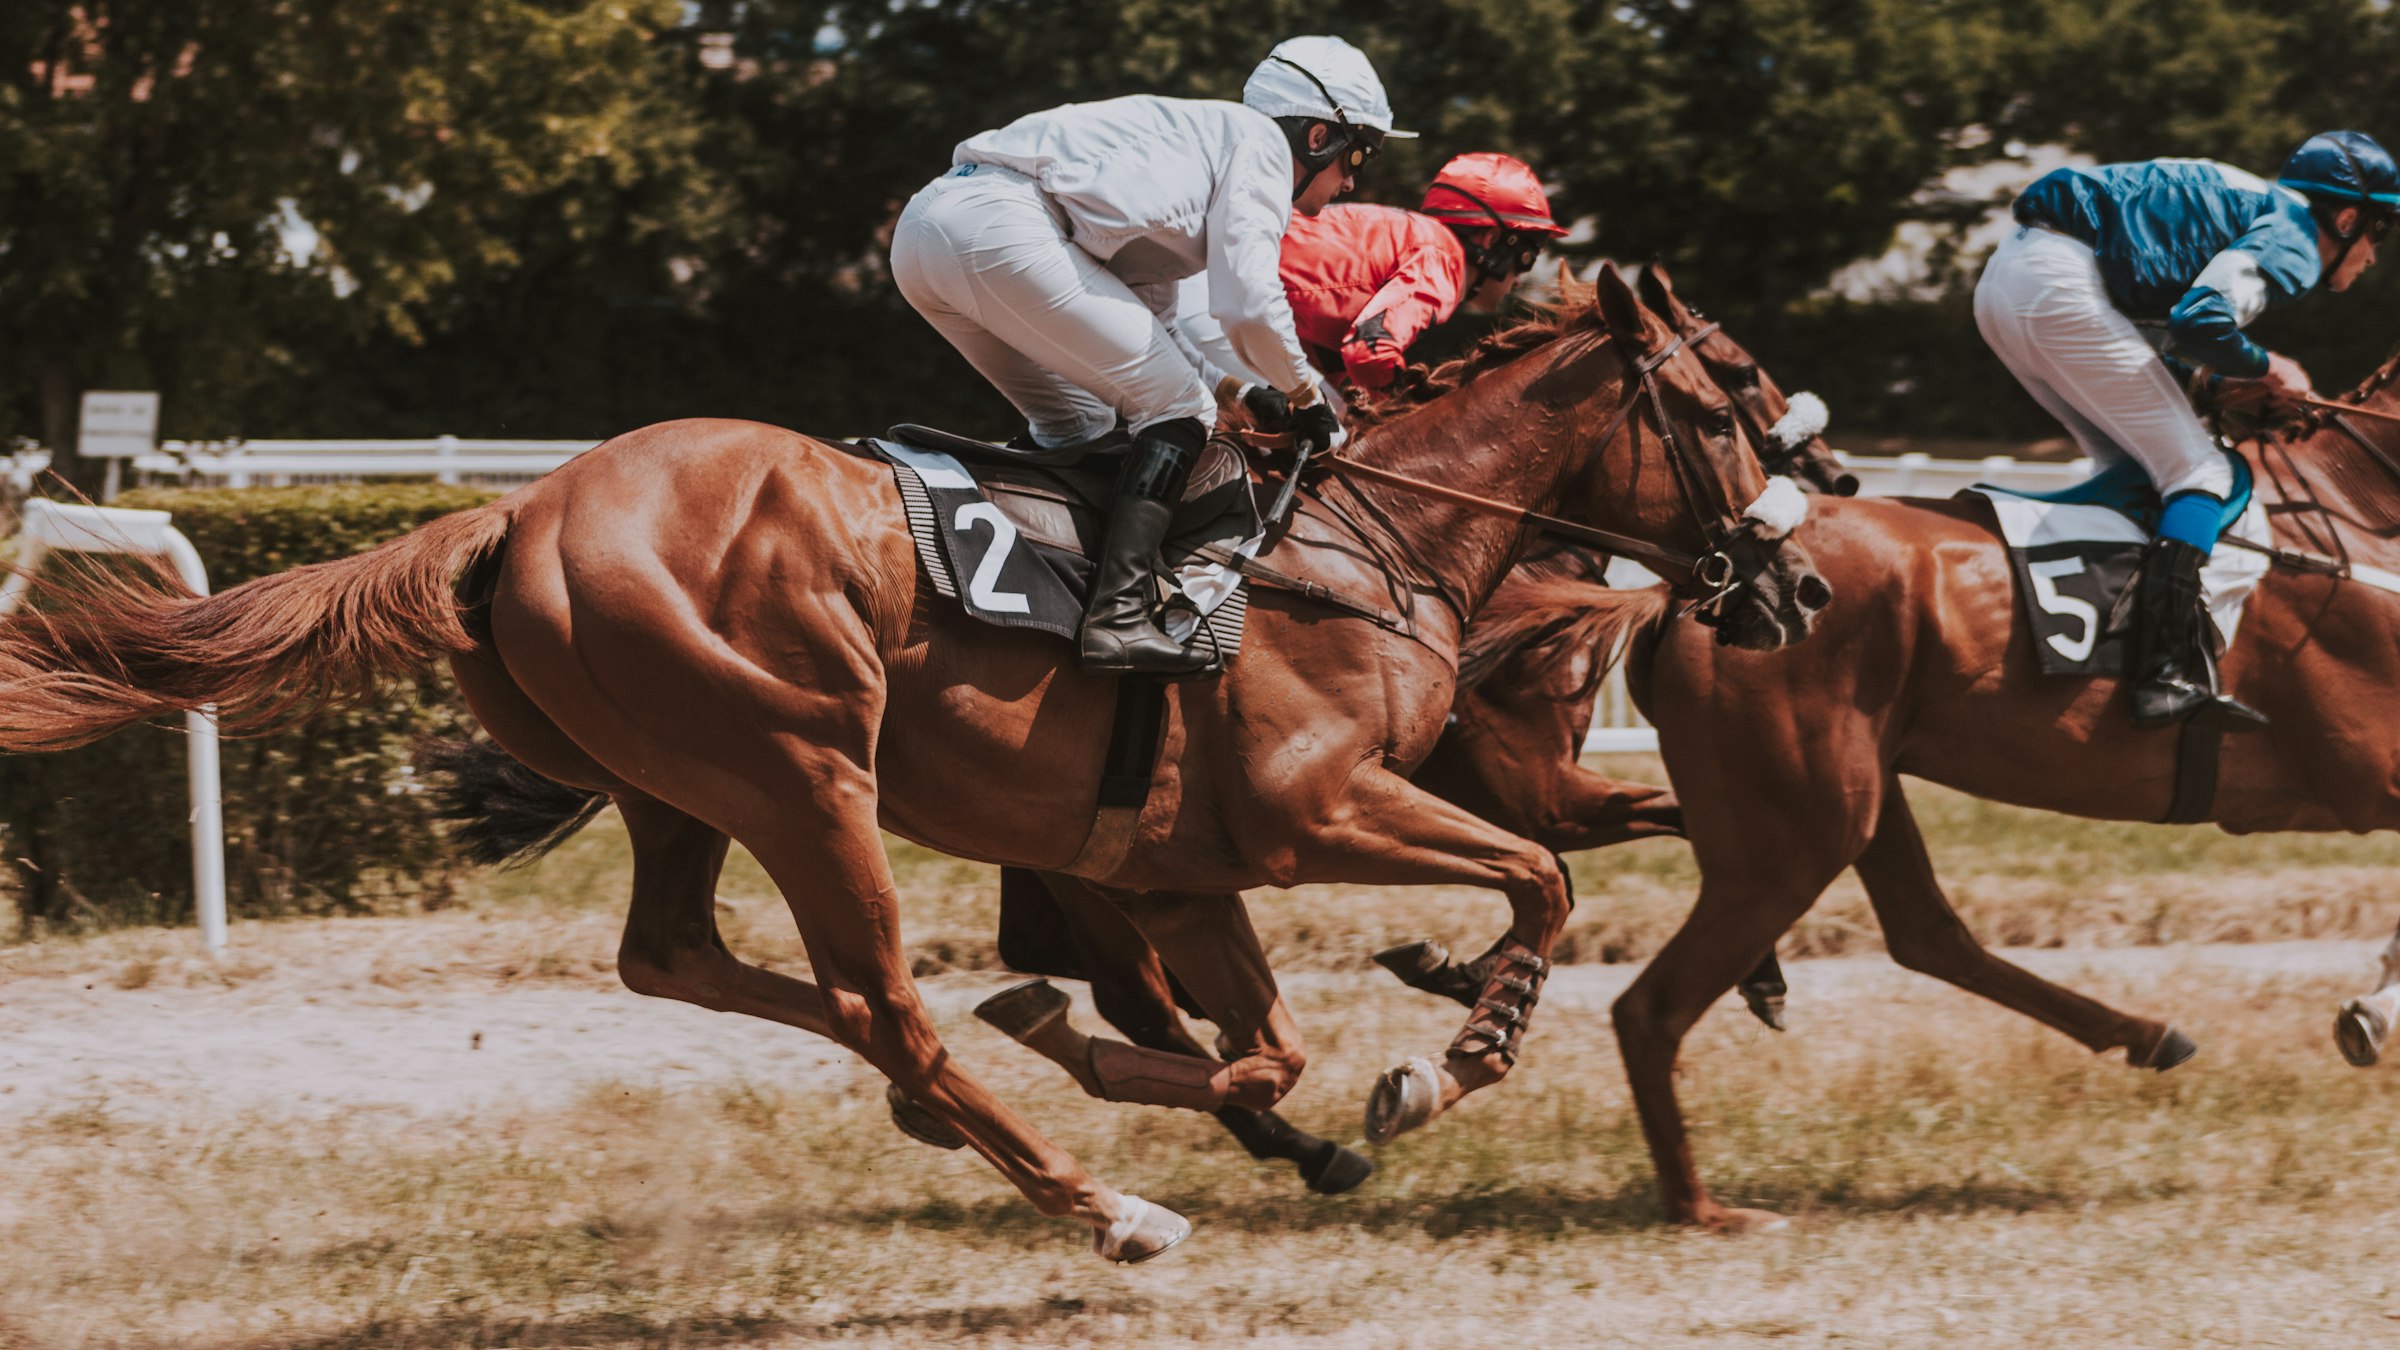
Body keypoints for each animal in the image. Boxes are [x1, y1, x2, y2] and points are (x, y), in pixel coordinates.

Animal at [0, 262, 1827, 1262]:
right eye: (1739, 390)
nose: (1799, 584)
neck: (1370, 537)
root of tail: (516, 513)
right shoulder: (1316, 809)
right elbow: (1536, 878)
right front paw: (1453, 1055)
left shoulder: (1180, 869)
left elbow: (1266, 1050)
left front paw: (1203, 1074)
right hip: (804, 769)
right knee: (878, 995)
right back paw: (1103, 1209)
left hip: (686, 786)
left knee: (682, 957)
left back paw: (997, 1116)